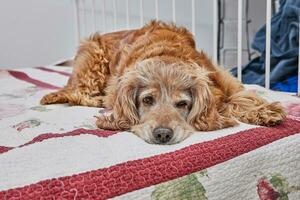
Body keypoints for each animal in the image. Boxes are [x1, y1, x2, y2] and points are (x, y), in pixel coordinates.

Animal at [40, 21, 286, 145]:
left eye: (182, 104)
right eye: (147, 100)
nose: (162, 135)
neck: (166, 52)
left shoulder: (222, 81)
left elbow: (242, 97)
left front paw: (265, 111)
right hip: (92, 56)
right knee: (77, 93)